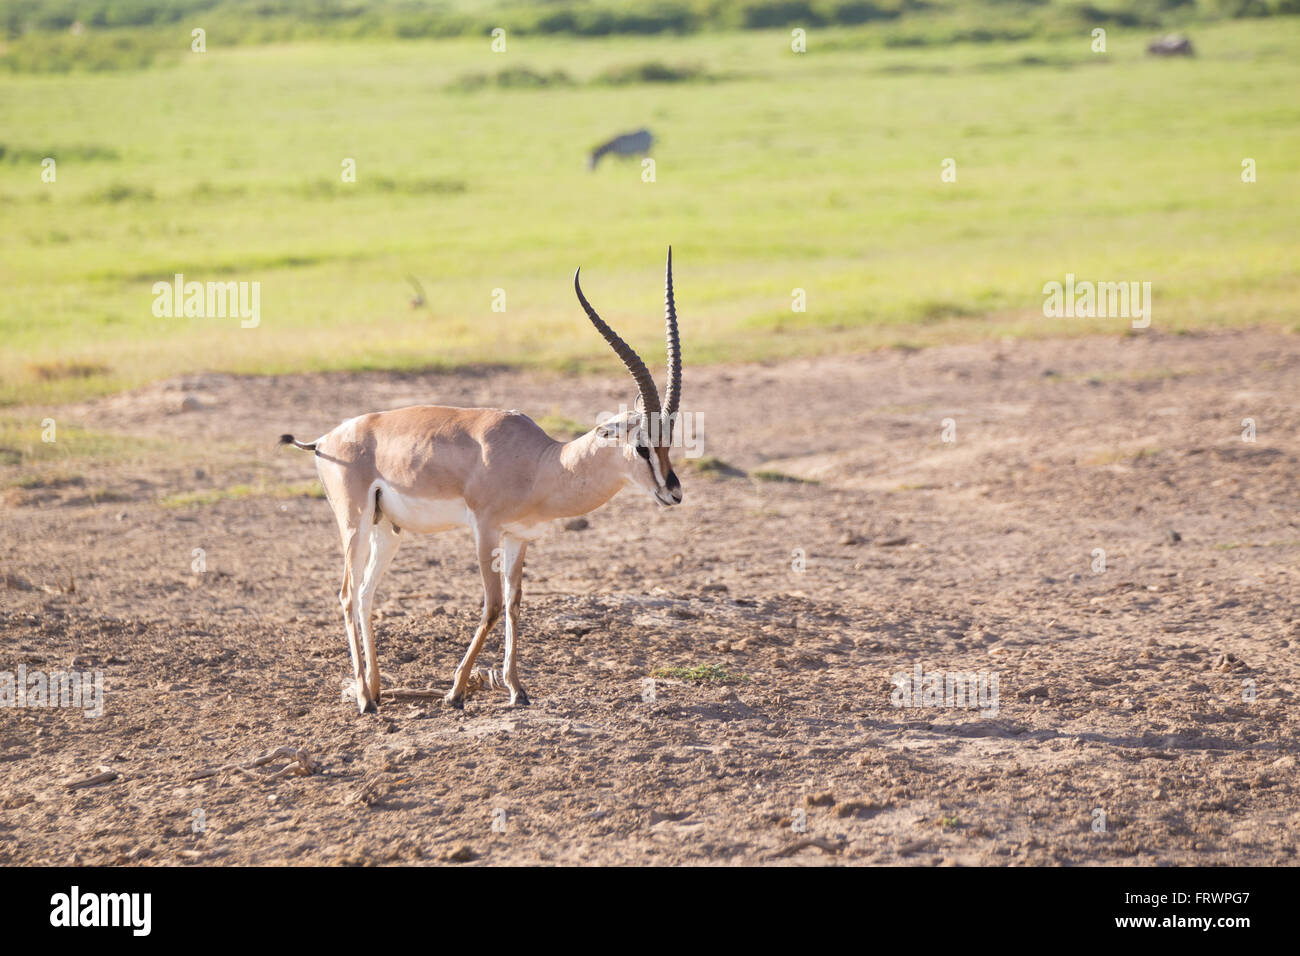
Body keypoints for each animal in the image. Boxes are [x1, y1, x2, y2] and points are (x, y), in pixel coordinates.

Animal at [281, 250, 684, 714]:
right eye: (642, 446)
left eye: (669, 440)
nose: (673, 492)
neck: (541, 463)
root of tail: (325, 439)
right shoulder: (485, 530)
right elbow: (491, 606)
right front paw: (456, 691)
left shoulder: (518, 537)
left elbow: (514, 603)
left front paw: (516, 688)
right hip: (355, 523)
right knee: (347, 595)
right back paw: (364, 698)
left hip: (388, 530)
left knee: (365, 595)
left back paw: (377, 690)